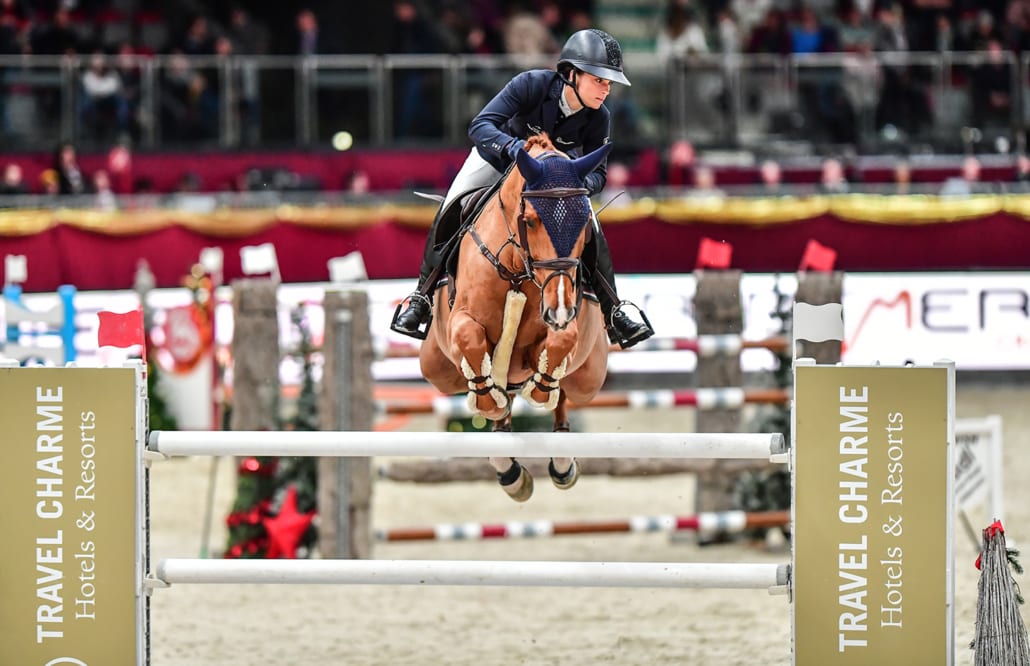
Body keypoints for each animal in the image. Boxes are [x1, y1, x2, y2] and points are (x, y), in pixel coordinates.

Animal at [419, 134, 612, 502]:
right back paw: (508, 468)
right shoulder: (460, 321)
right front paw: (488, 399)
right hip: (437, 369)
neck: (516, 270)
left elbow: (561, 342)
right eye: (532, 219)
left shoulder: (563, 327)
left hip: (589, 378)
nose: (560, 309)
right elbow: (470, 340)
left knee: (566, 400)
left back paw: (560, 463)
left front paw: (540, 389)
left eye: (584, 224)